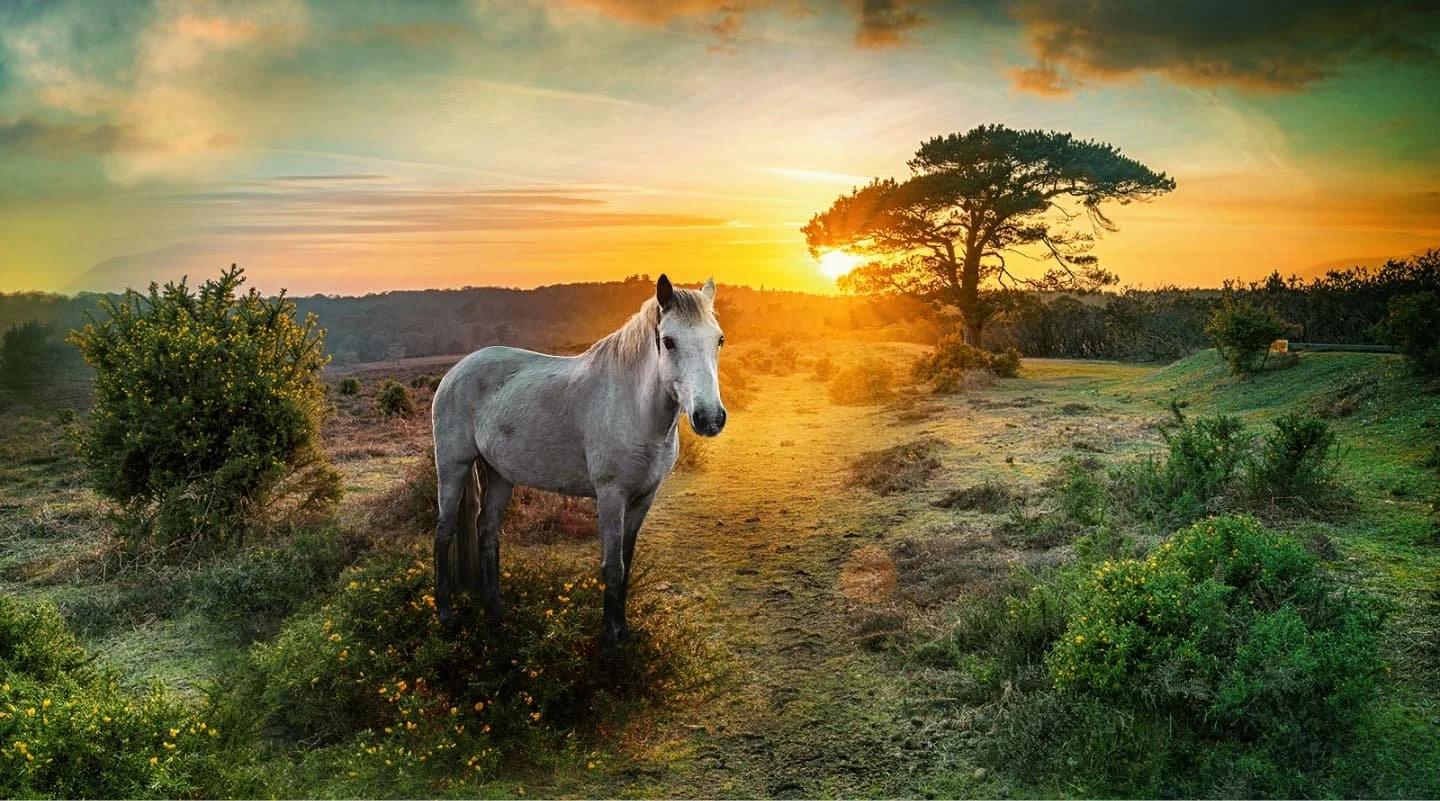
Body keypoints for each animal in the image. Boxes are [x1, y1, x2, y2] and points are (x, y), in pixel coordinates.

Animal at [430, 274, 726, 654]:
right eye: (668, 341)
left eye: (719, 339)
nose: (710, 418)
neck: (633, 407)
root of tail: (456, 371)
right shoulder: (611, 496)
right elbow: (612, 567)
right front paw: (608, 646)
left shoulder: (643, 498)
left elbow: (627, 562)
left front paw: (623, 632)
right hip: (453, 466)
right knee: (444, 531)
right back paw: (445, 614)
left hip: (498, 475)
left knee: (486, 529)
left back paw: (496, 610)